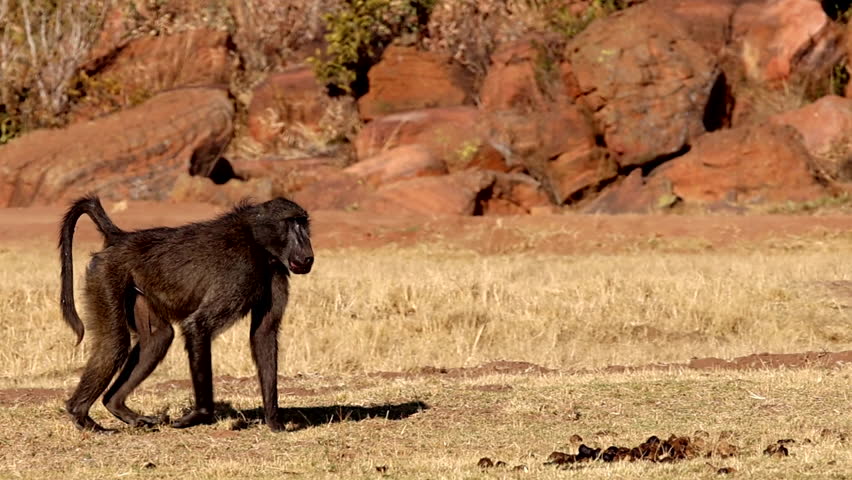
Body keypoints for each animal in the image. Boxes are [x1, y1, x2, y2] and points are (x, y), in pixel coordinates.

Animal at [58, 194, 313, 433]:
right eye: (292, 223)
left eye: (303, 223)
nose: (308, 255)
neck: (257, 241)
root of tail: (121, 238)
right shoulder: (240, 269)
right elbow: (198, 324)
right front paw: (199, 415)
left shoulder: (276, 270)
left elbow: (264, 334)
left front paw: (274, 422)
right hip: (105, 275)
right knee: (115, 344)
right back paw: (83, 417)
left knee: (157, 338)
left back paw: (118, 407)